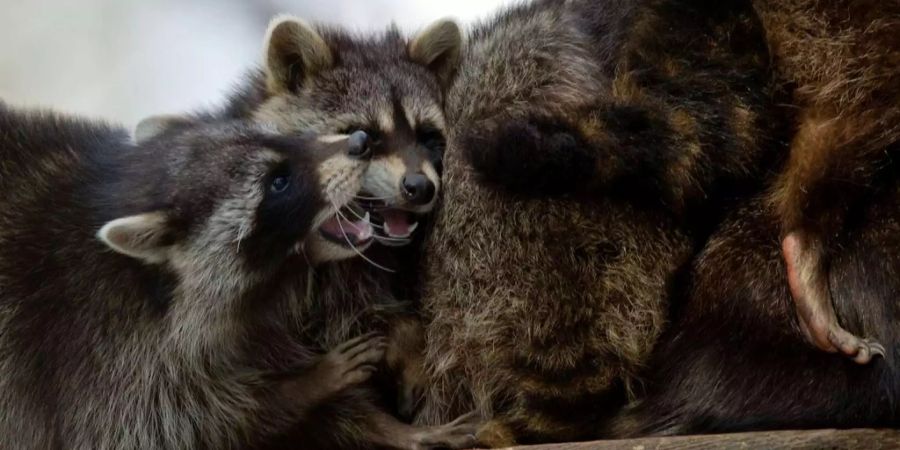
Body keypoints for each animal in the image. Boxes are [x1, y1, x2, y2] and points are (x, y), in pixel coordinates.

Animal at [0, 103, 478, 448]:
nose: (360, 141)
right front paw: (301, 388)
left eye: (277, 137)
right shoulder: (100, 349)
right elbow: (182, 425)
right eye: (278, 183)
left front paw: (387, 426)